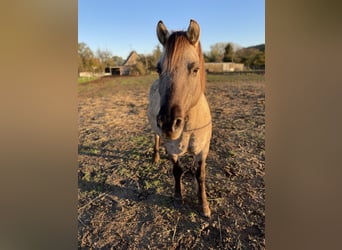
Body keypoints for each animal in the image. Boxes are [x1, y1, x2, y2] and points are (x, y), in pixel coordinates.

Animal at [148, 19, 212, 217]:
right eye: (158, 69)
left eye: (195, 69)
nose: (168, 124)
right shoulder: (172, 149)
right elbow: (177, 171)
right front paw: (178, 197)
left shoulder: (203, 150)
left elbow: (200, 175)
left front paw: (204, 206)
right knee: (156, 137)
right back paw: (155, 157)